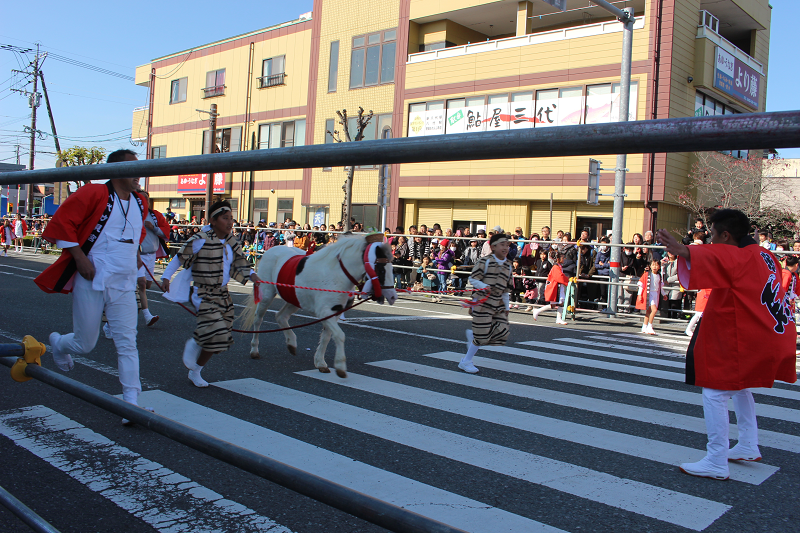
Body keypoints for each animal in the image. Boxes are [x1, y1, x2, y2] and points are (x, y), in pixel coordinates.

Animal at [239, 235, 398, 376]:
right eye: (381, 269)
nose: (392, 296)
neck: (337, 275)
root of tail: (270, 250)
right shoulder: (325, 312)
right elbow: (339, 335)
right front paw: (340, 366)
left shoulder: (334, 312)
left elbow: (327, 337)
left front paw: (320, 363)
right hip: (267, 294)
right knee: (258, 319)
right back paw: (254, 350)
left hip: (294, 299)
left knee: (280, 316)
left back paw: (291, 343)